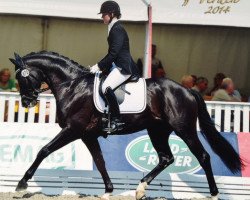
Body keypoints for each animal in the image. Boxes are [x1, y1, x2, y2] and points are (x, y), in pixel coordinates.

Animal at [9, 52, 242, 200]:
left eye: (22, 78)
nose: (27, 103)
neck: (73, 85)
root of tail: (188, 90)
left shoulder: (73, 129)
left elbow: (44, 150)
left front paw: (21, 184)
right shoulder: (87, 135)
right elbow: (100, 162)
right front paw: (108, 191)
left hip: (184, 129)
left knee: (203, 156)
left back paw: (214, 194)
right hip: (157, 131)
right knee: (166, 158)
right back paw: (140, 189)